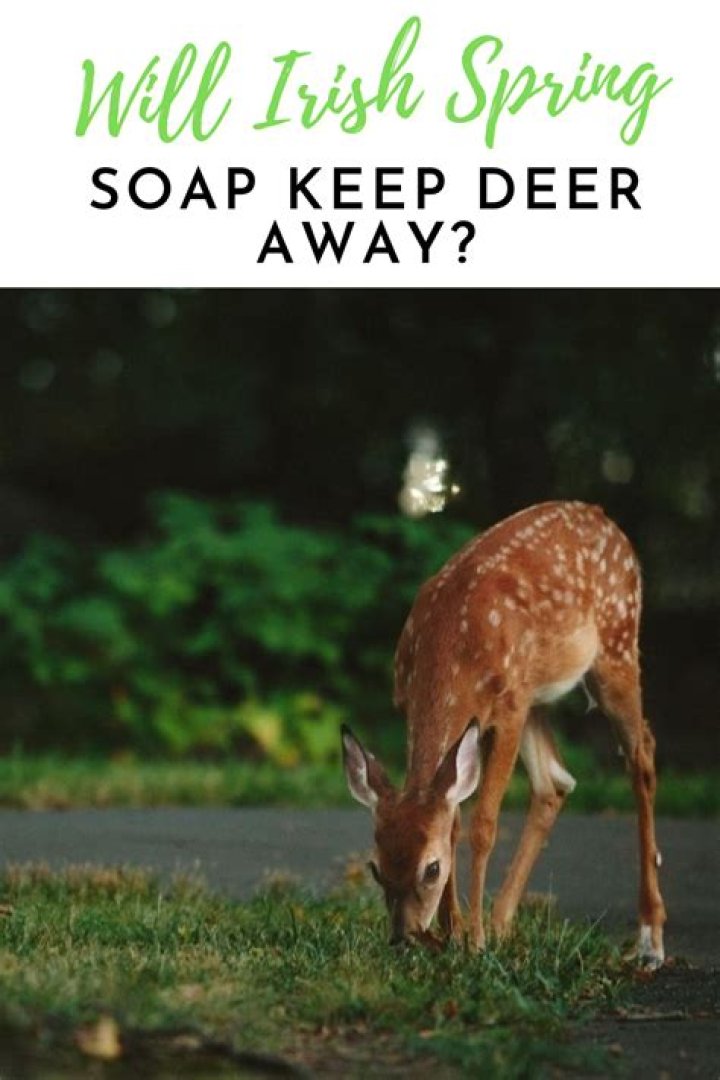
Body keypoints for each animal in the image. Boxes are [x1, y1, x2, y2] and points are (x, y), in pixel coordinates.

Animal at [342, 501, 666, 968]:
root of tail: (603, 517)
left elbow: (482, 825)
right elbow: (453, 818)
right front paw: (454, 933)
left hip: (616, 646)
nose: (404, 938)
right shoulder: (417, 704)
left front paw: (472, 941)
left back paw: (650, 939)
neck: (450, 647)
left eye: (431, 869)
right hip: (539, 694)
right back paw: (501, 923)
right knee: (555, 782)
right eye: (376, 868)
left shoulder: (508, 710)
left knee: (642, 756)